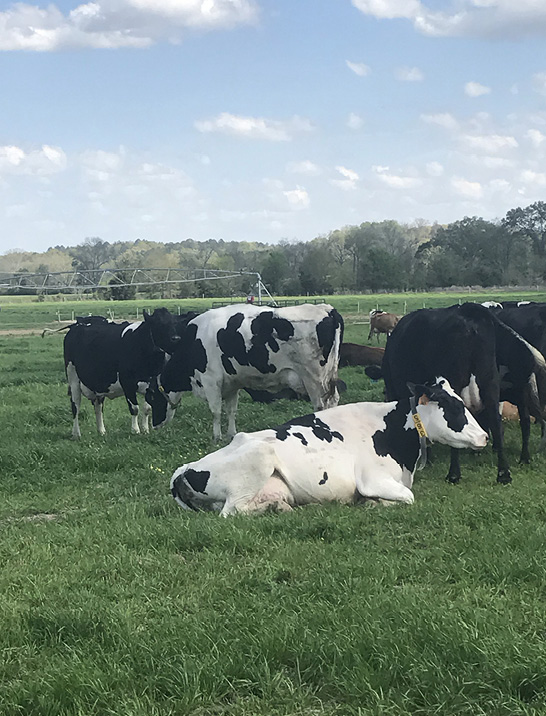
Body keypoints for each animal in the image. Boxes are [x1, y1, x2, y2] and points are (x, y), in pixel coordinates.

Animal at [64, 308, 191, 436]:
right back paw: (76, 433)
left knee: (98, 407)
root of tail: (78, 324)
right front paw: (135, 430)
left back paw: (102, 431)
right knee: (75, 405)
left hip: (98, 384)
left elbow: (147, 408)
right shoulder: (127, 382)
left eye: (175, 324)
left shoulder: (151, 385)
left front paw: (145, 429)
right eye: (159, 324)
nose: (176, 338)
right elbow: (134, 408)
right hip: (73, 378)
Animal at [148, 304, 344, 442]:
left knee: (321, 405)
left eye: (151, 398)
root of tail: (326, 309)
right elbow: (231, 410)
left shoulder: (211, 380)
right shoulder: (232, 384)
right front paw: (231, 434)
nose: (155, 426)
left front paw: (216, 437)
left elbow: (215, 411)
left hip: (314, 378)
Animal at [169, 378, 484, 516]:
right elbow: (407, 497)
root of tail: (185, 468)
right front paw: (372, 503)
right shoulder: (373, 480)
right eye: (455, 407)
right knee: (231, 512)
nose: (484, 436)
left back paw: (280, 506)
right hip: (257, 462)